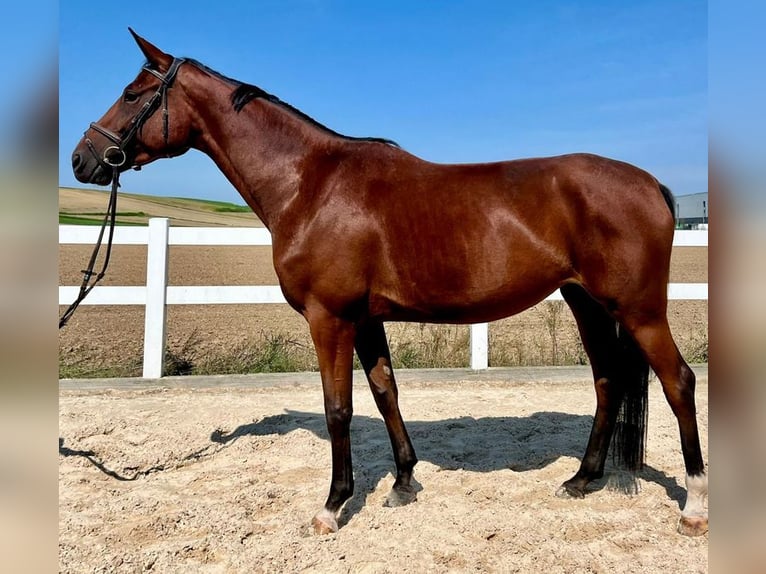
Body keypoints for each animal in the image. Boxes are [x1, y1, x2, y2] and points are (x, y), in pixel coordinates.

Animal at [71, 29, 707, 537]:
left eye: (132, 94)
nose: (83, 159)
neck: (311, 184)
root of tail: (650, 183)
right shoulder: (366, 318)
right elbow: (385, 393)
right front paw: (404, 480)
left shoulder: (330, 317)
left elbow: (339, 408)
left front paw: (333, 505)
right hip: (587, 302)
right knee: (607, 381)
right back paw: (582, 478)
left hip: (639, 310)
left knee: (678, 382)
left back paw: (694, 505)